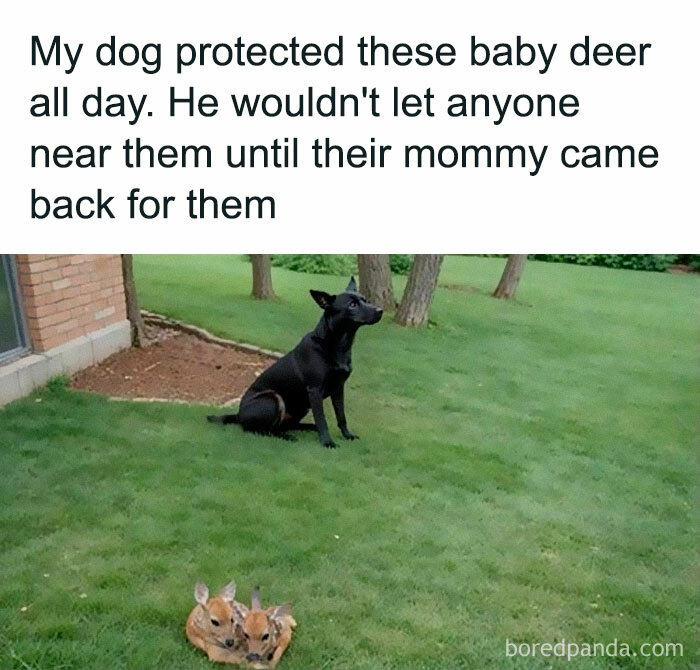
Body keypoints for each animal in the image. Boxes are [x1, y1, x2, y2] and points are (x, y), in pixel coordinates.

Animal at [208, 278, 382, 452]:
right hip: (273, 398)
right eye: (352, 305)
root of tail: (238, 415)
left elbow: (341, 416)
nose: (380, 310)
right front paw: (327, 442)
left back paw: (306, 428)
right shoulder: (315, 390)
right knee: (263, 431)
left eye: (365, 300)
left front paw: (347, 435)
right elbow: (322, 420)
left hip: (301, 408)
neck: (333, 344)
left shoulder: (338, 388)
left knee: (285, 425)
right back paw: (288, 436)